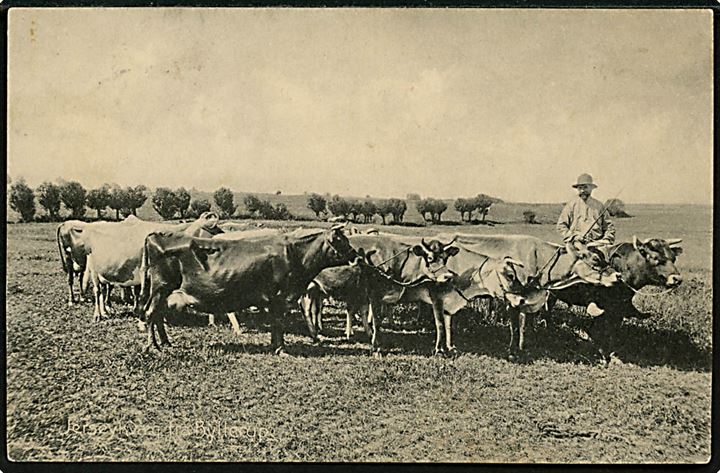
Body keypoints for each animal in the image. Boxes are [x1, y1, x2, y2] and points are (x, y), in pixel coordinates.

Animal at [81, 213, 222, 320]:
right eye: (216, 229)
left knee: (104, 290)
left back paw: (105, 312)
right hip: (93, 269)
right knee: (97, 291)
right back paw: (97, 315)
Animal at [139, 227, 356, 352]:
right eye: (341, 241)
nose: (357, 255)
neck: (295, 255)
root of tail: (157, 235)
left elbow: (275, 323)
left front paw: (275, 345)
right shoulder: (279, 297)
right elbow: (278, 323)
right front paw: (280, 348)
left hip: (163, 291)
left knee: (158, 315)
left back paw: (165, 343)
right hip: (161, 287)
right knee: (150, 313)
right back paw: (153, 347)